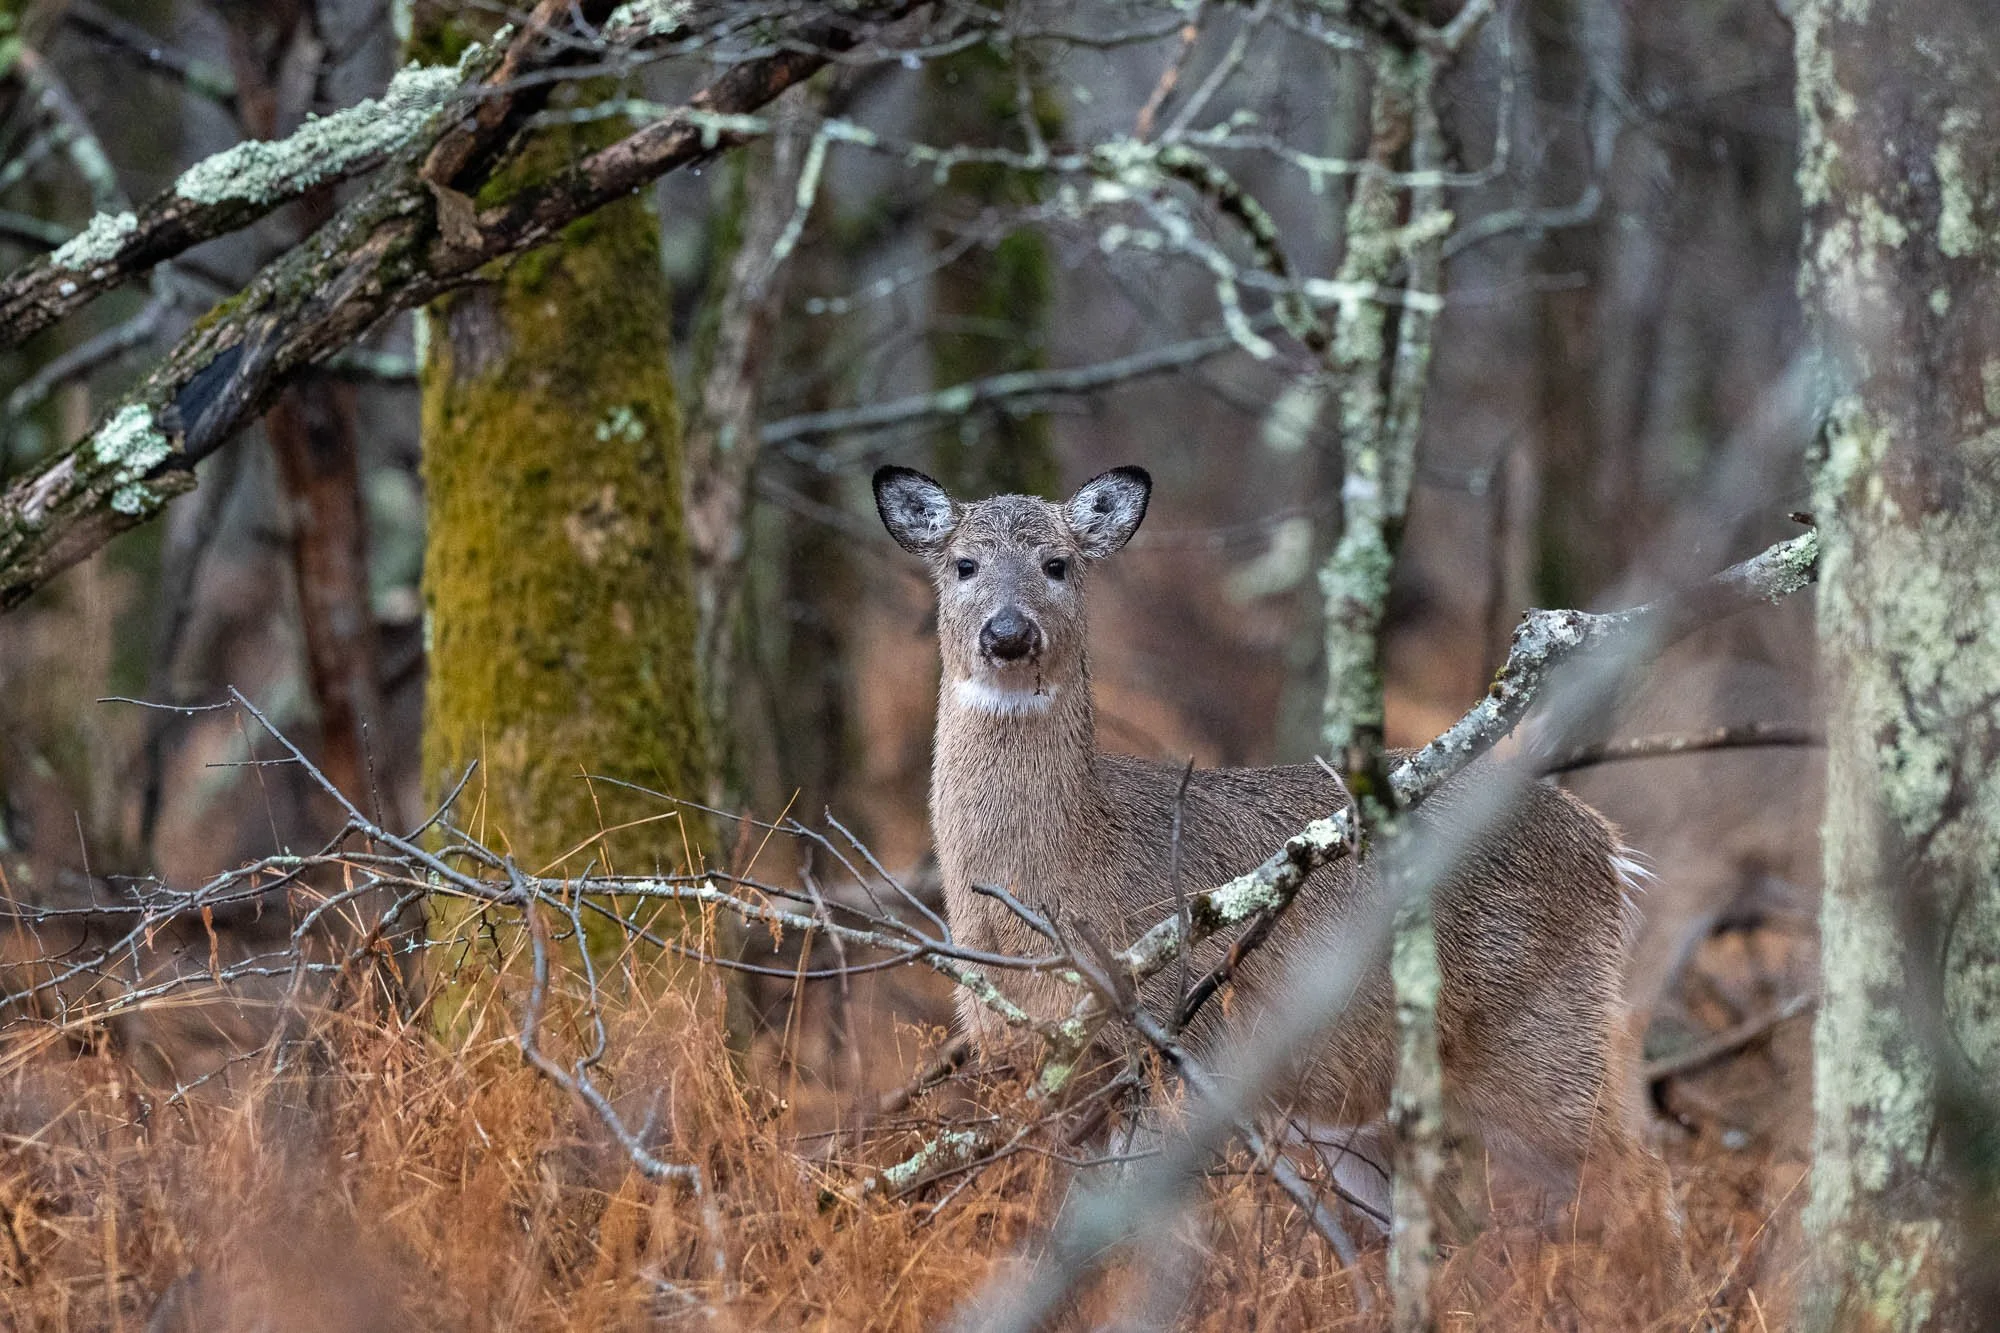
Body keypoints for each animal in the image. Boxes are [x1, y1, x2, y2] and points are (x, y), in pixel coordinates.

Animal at [874, 462, 1687, 1276]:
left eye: (1058, 564)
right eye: (963, 564)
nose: (1009, 633)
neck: (1062, 880)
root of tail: (1606, 846)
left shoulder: (1178, 1039)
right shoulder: (1041, 1065)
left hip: (1542, 1036)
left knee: (1639, 1174)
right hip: (1361, 1107)